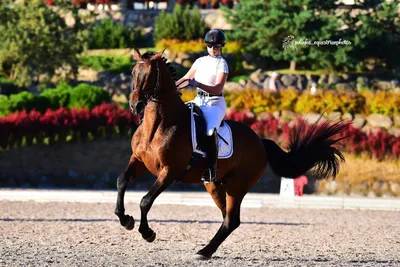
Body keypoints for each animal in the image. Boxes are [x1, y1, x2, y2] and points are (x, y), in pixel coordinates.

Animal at [114, 49, 348, 260]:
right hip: (215, 184)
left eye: (150, 75)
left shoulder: (170, 171)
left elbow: (146, 200)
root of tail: (260, 141)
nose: (135, 105)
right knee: (227, 217)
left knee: (231, 219)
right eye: (134, 72)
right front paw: (125, 219)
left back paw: (204, 252)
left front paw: (148, 233)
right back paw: (207, 250)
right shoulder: (138, 161)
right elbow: (121, 181)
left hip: (237, 185)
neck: (159, 124)